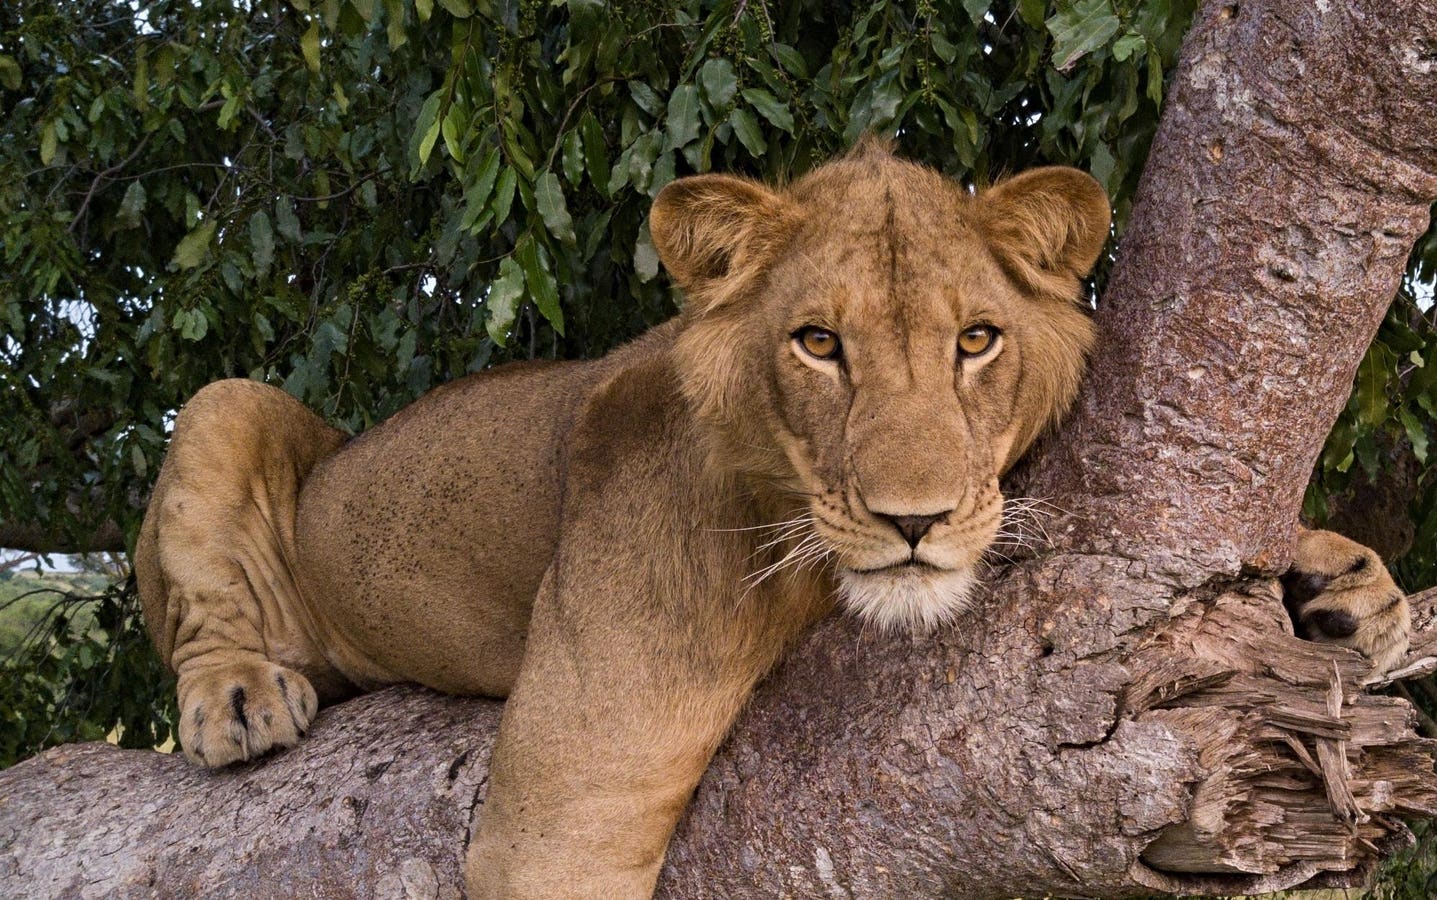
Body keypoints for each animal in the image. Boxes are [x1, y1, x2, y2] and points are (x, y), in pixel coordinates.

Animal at [133, 140, 1410, 898]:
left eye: (977, 339)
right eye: (818, 343)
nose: (914, 519)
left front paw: (1342, 585)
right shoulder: (563, 812)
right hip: (226, 402)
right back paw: (239, 701)